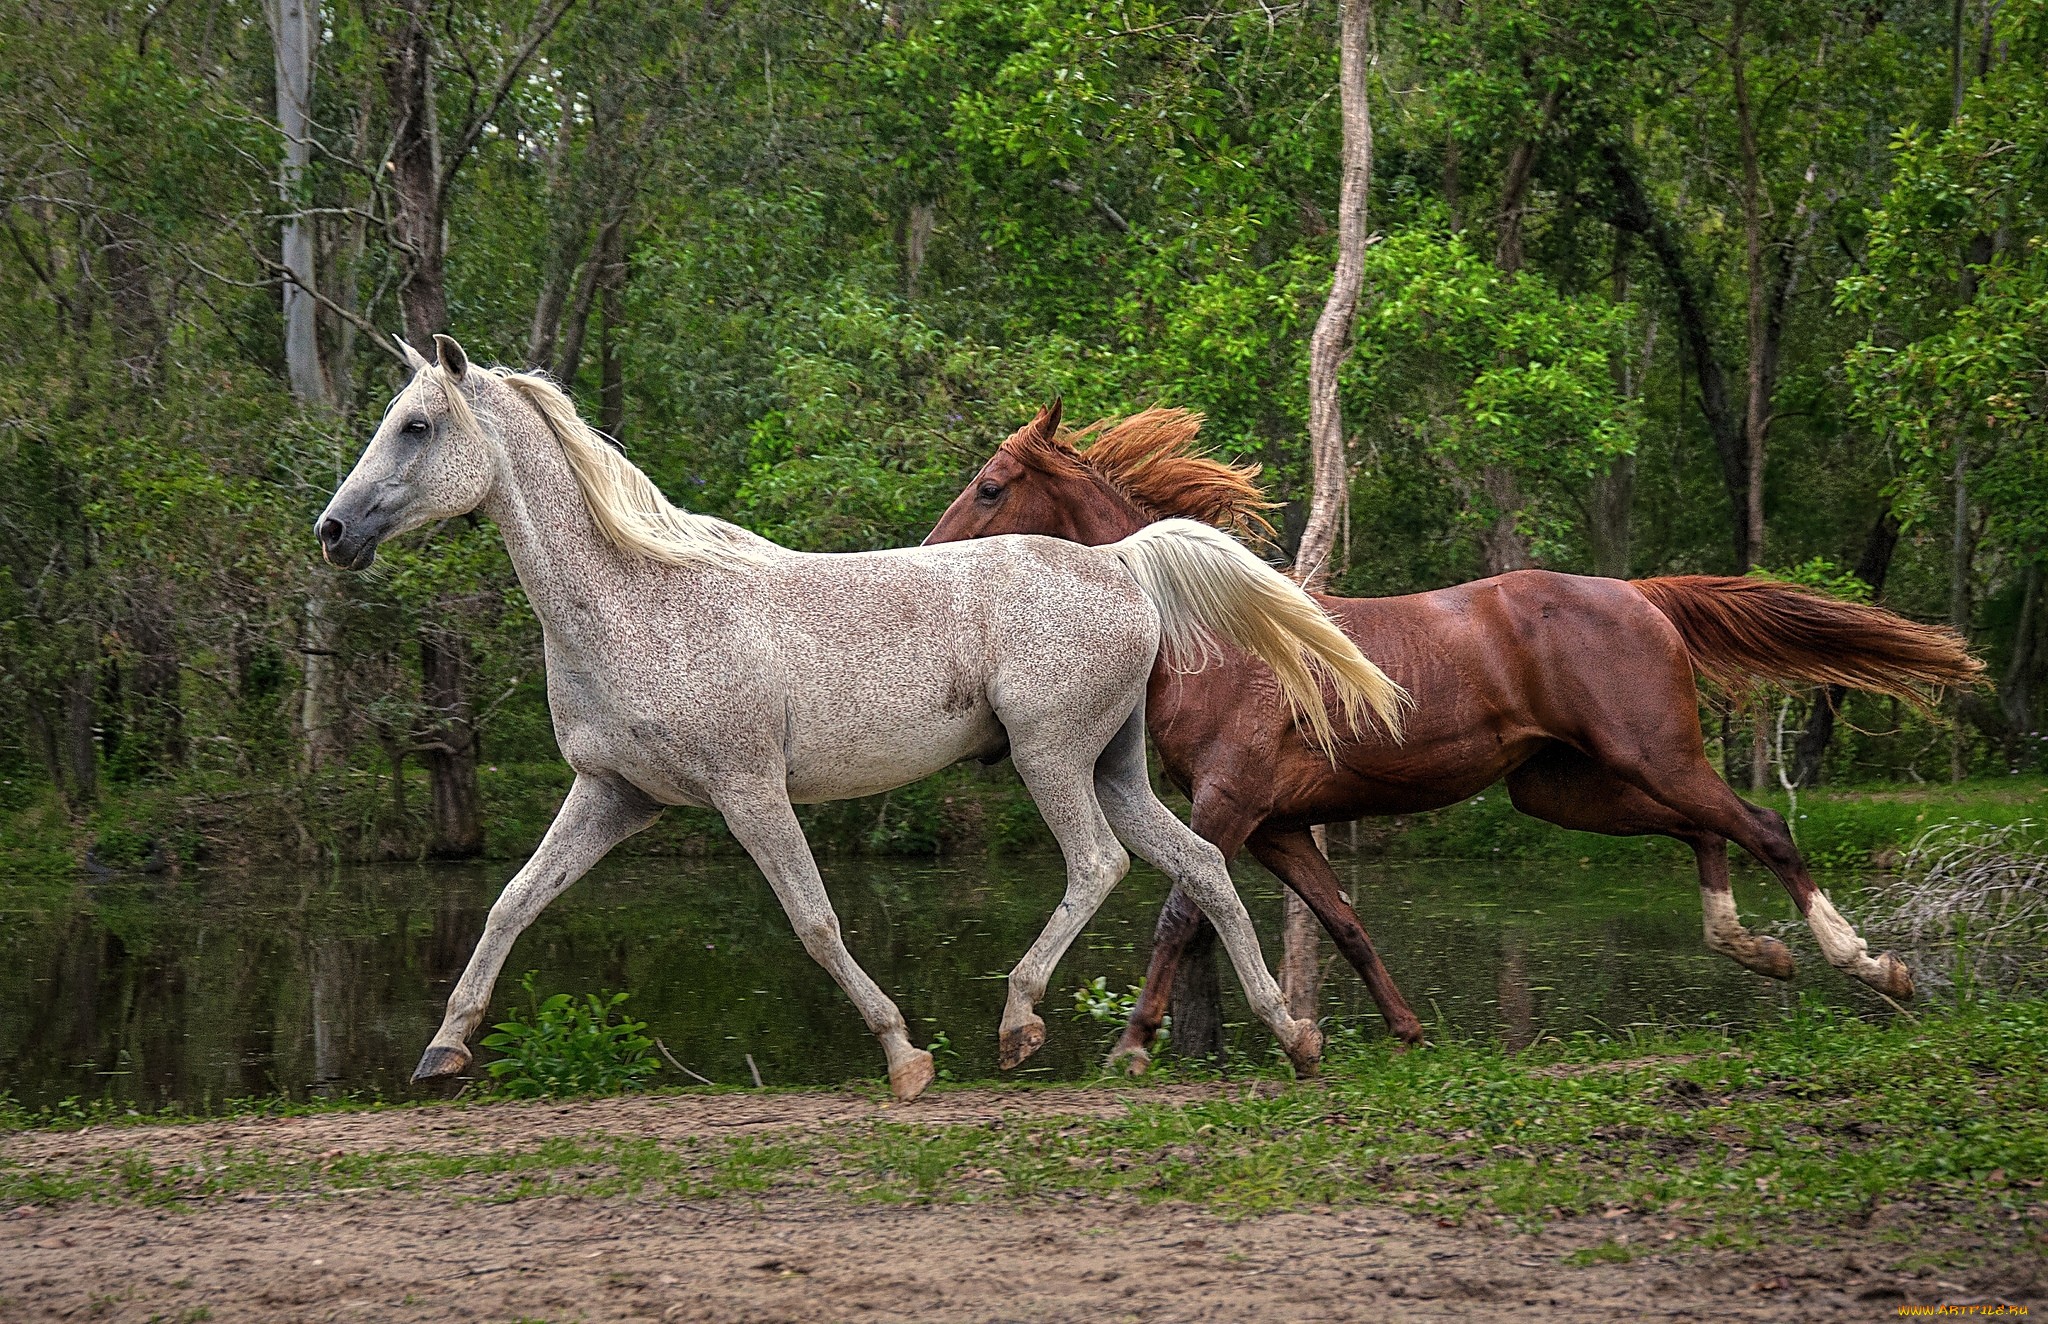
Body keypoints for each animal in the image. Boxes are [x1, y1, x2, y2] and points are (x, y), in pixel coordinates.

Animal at [319, 338, 1409, 1106]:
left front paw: (904, 1057)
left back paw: (1020, 1024)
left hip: (1050, 758)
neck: (637, 601)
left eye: (416, 426)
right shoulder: (615, 796)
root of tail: (1118, 559)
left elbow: (814, 920)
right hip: (1114, 766)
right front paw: (443, 1050)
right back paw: (1295, 1039)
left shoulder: (748, 791)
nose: (332, 531)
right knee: (1202, 867)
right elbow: (511, 902)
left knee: (1099, 864)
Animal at [929, 401, 1982, 1065]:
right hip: (1567, 787)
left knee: (1762, 826)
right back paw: (1755, 948)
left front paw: (1134, 1045)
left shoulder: (1232, 805)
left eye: (991, 486)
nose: (928, 555)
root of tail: (1639, 595)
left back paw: (1867, 964)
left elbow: (1183, 917)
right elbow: (1345, 925)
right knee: (1705, 830)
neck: (1216, 634)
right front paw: (1403, 1033)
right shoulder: (1279, 826)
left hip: (1650, 756)